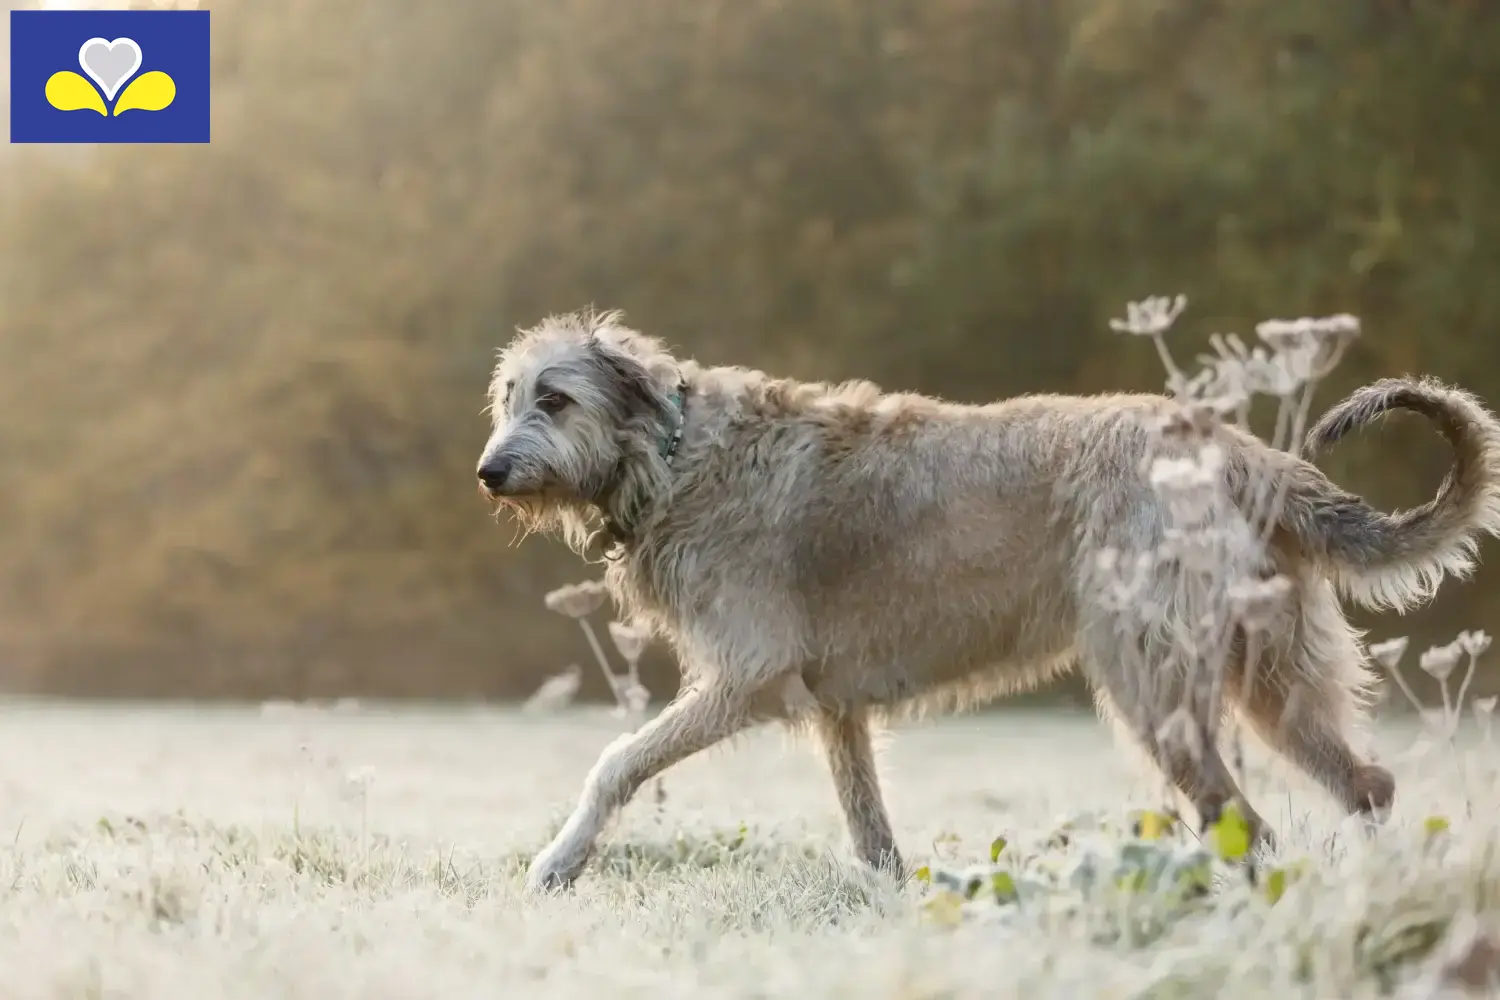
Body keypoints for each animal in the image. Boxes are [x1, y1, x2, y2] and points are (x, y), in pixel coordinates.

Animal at [477, 308, 1500, 893]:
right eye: (508, 397)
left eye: (555, 398)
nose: (488, 472)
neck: (676, 450)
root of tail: (1243, 453)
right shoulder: (837, 707)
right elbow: (870, 830)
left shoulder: (746, 677)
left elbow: (615, 762)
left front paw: (556, 863)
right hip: (1275, 683)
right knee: (1367, 784)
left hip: (1155, 686)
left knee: (1244, 822)